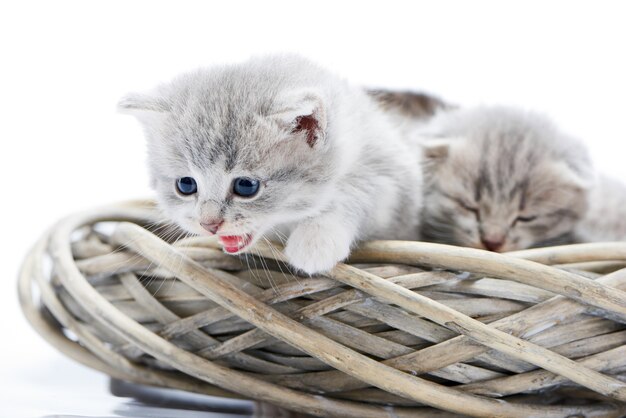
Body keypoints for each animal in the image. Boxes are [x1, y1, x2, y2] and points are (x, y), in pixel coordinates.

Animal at [119, 54, 422, 274]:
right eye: (186, 185)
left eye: (246, 186)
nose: (209, 224)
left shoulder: (394, 180)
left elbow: (356, 193)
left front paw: (316, 240)